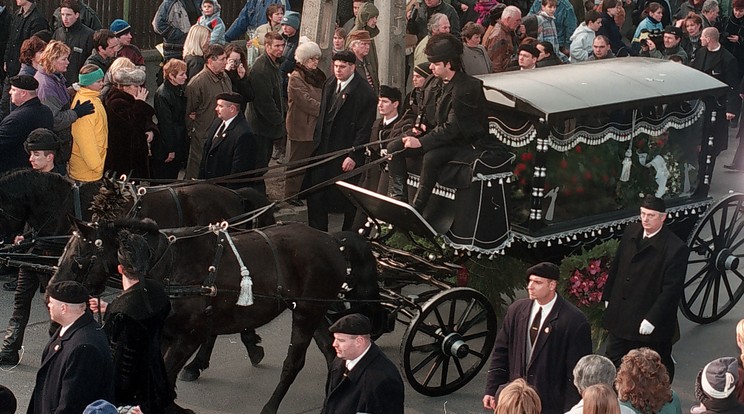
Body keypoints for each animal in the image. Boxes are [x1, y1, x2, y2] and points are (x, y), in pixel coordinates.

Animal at [53, 218, 378, 412]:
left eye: (79, 256)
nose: (53, 292)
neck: (170, 267)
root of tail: (332, 241)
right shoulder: (164, 334)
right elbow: (160, 375)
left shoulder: (189, 336)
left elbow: (167, 373)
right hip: (314, 310)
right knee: (331, 354)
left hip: (307, 313)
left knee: (293, 363)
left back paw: (271, 406)